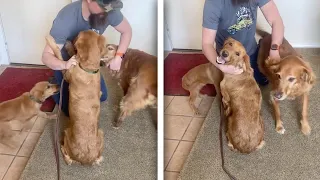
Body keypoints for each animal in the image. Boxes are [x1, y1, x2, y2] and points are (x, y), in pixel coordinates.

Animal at [45, 29, 105, 166]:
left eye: (77, 36)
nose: (71, 39)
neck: (89, 68)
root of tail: (86, 159)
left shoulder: (67, 73)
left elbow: (59, 54)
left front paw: (54, 41)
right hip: (101, 132)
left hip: (66, 132)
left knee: (66, 155)